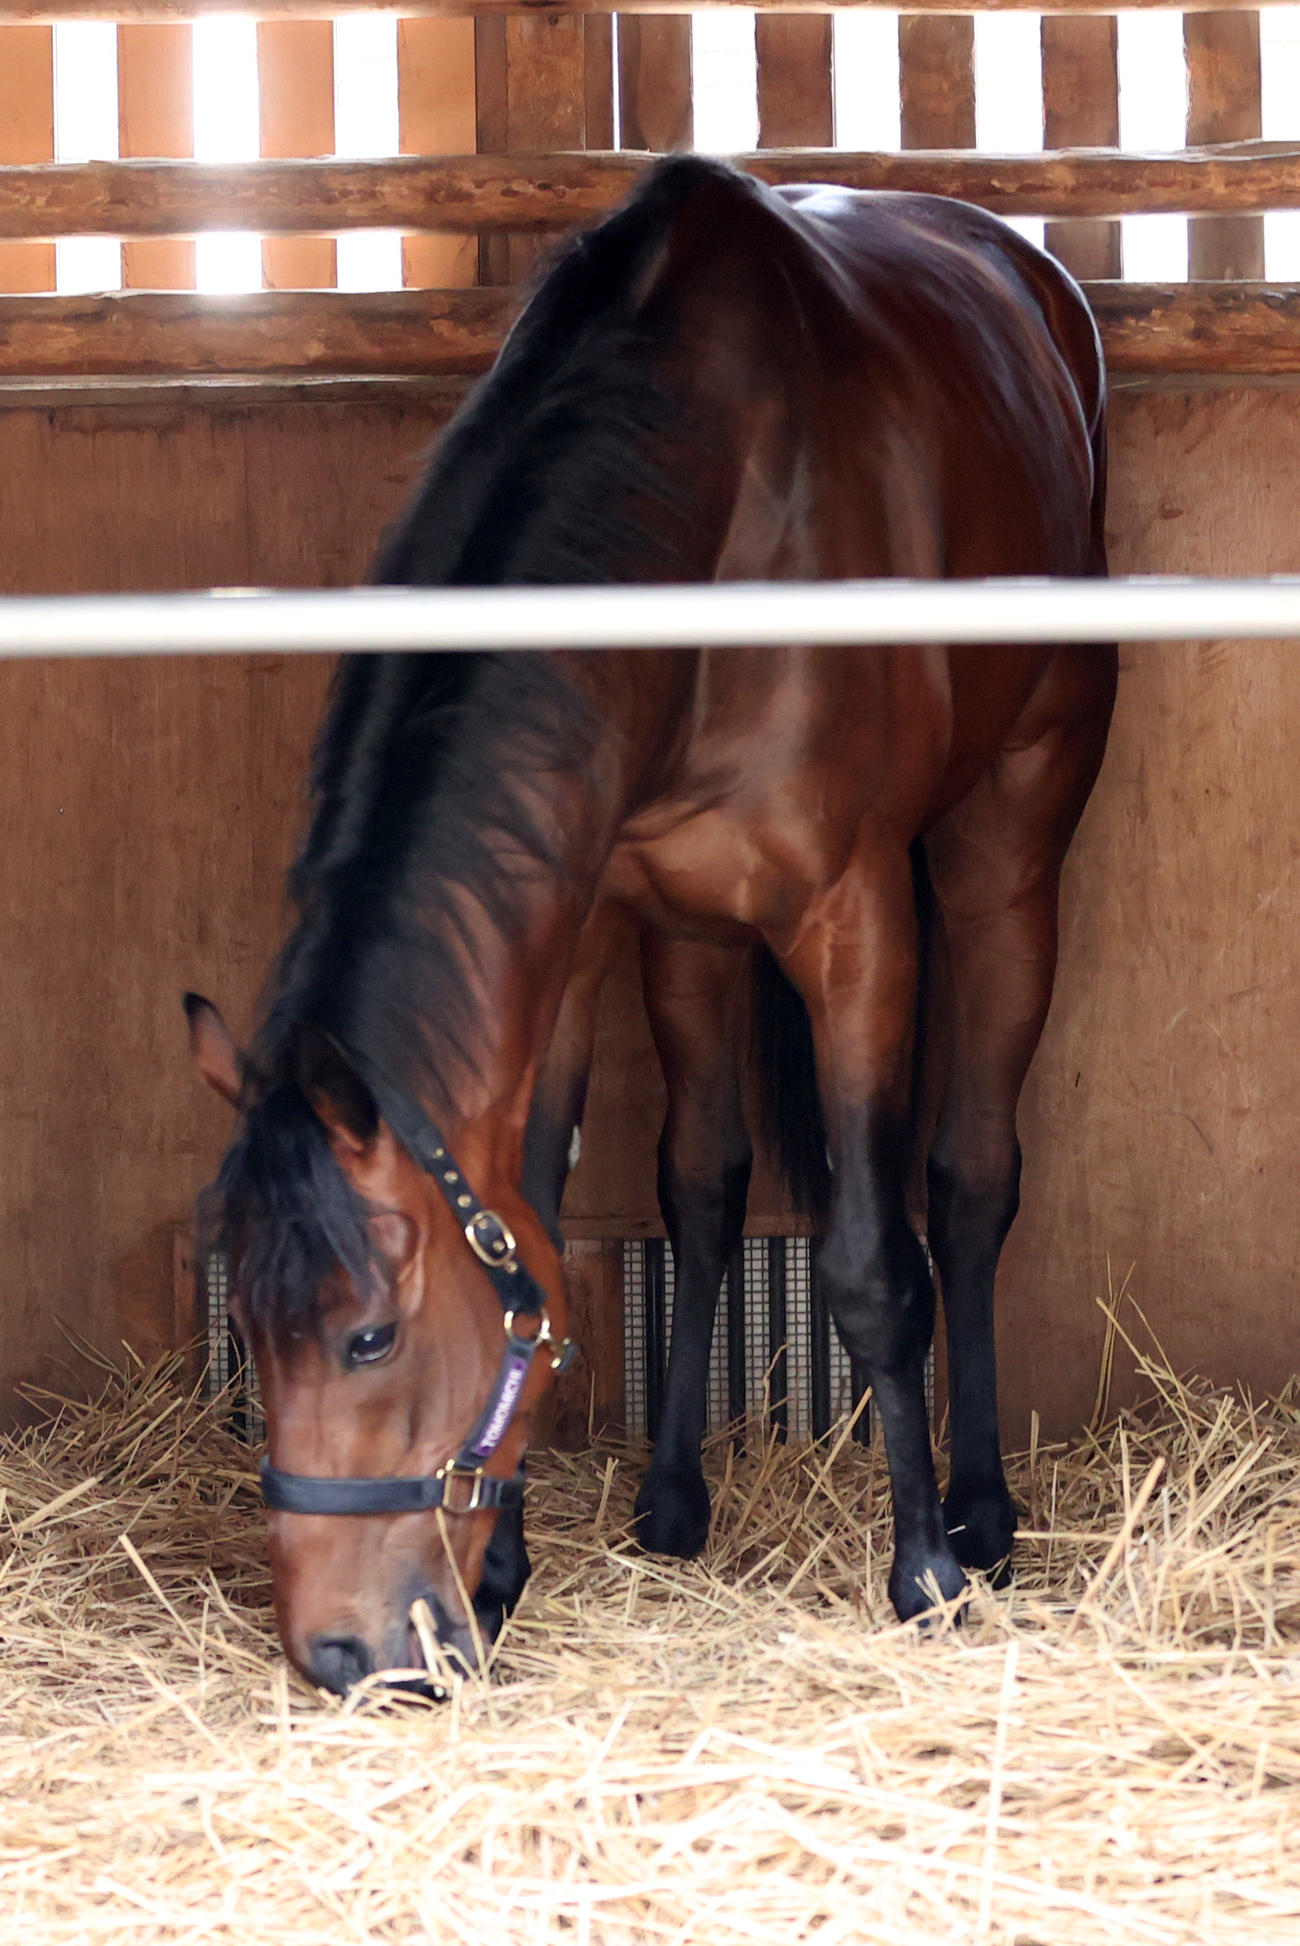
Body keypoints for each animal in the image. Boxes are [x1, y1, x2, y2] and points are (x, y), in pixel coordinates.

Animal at [186, 155, 1116, 1696]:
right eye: (250, 1334)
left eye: (368, 1336)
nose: (340, 1651)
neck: (711, 500)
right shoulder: (580, 920)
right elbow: (550, 1226)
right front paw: (507, 1568)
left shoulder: (856, 918)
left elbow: (874, 1261)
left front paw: (922, 1569)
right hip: (690, 937)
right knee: (705, 1180)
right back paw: (678, 1499)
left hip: (1009, 840)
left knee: (972, 1177)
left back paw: (982, 1514)